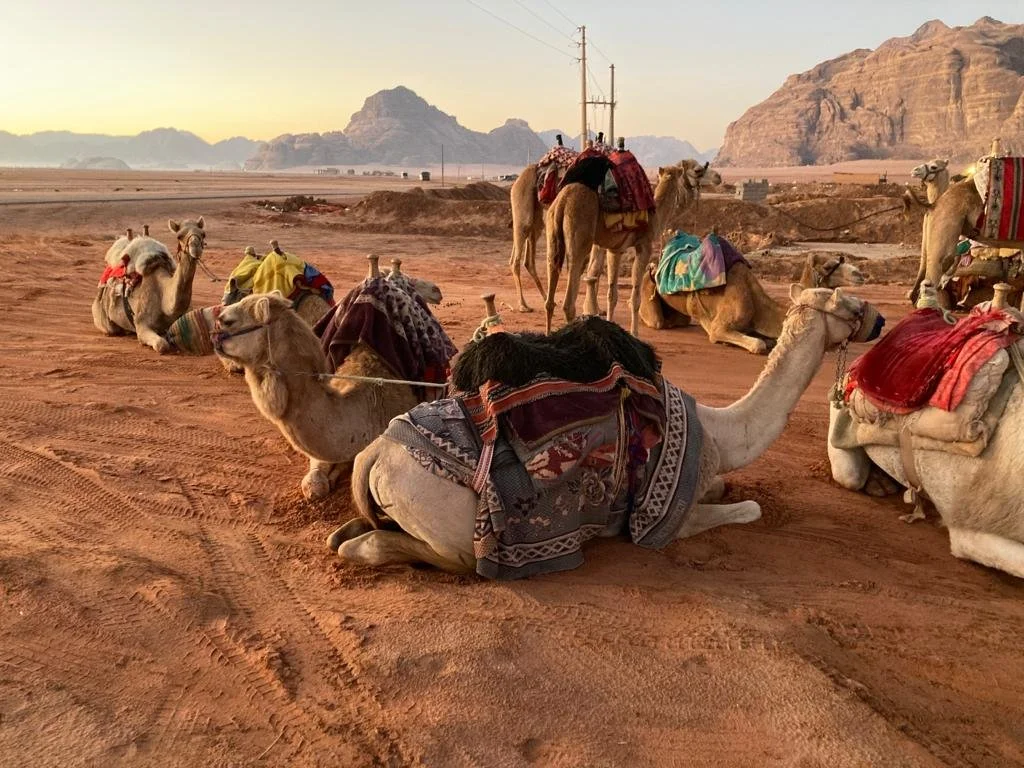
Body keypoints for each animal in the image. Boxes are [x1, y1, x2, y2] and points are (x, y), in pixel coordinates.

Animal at [92, 218, 207, 353]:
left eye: (203, 234)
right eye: (179, 236)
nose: (195, 248)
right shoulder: (141, 325)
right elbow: (161, 344)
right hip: (102, 317)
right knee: (111, 329)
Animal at [324, 286, 884, 573]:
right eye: (851, 305)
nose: (878, 321)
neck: (720, 434)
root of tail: (375, 454)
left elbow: (726, 488)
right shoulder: (664, 519)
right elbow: (749, 508)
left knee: (349, 534)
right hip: (453, 526)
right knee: (421, 553)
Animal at [511, 159, 719, 315]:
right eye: (698, 170)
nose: (718, 177)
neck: (655, 212)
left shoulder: (614, 248)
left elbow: (609, 290)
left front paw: (599, 313)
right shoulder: (642, 246)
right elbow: (625, 292)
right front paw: (594, 311)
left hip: (547, 226)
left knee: (537, 264)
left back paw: (545, 301)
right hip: (536, 218)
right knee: (519, 258)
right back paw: (523, 305)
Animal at [637, 252, 866, 354]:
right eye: (827, 266)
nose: (859, 274)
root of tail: (654, 264)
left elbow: (768, 340)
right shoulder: (721, 326)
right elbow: (758, 344)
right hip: (648, 292)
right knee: (655, 320)